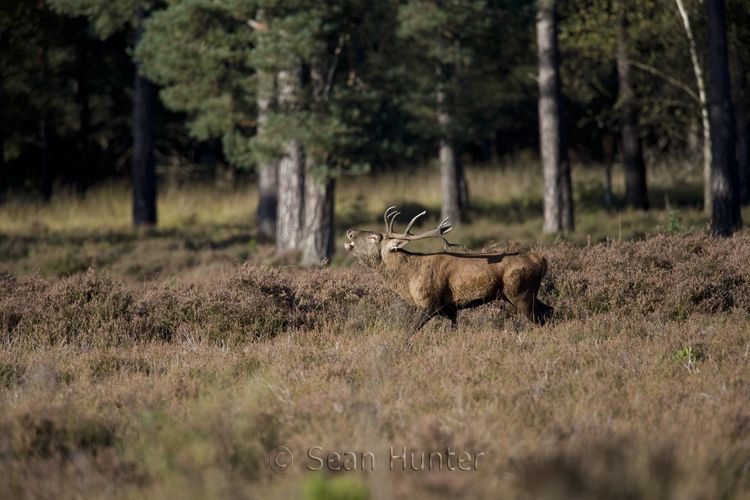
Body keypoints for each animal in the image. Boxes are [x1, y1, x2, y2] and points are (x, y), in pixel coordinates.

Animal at [344, 207, 554, 335]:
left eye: (374, 237)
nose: (349, 230)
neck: (409, 279)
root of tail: (541, 259)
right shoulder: (449, 308)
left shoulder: (430, 301)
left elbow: (409, 331)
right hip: (523, 294)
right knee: (549, 311)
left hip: (520, 293)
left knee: (540, 319)